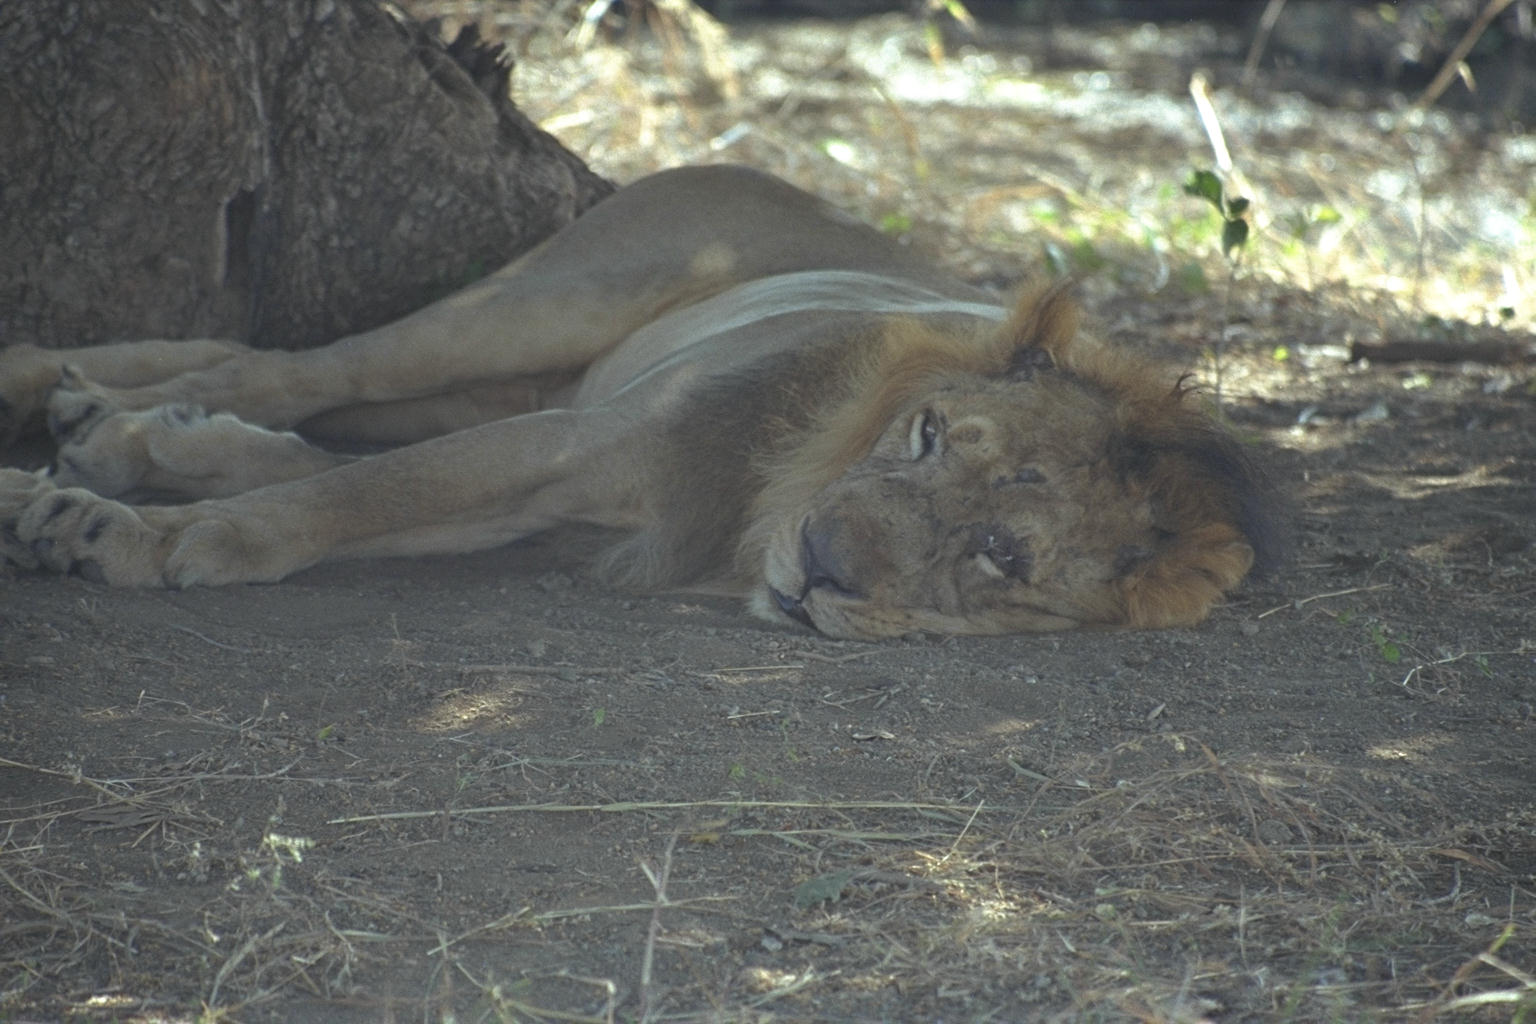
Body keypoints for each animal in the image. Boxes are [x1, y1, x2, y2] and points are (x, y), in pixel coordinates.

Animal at [0, 164, 1284, 635]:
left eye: (999, 555)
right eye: (925, 437)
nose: (824, 559)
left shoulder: (553, 495)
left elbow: (350, 498)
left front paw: (109, 516)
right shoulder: (580, 442)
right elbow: (343, 501)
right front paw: (101, 533)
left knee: (295, 424)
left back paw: (112, 431)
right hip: (539, 305)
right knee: (280, 366)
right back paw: (66, 402)